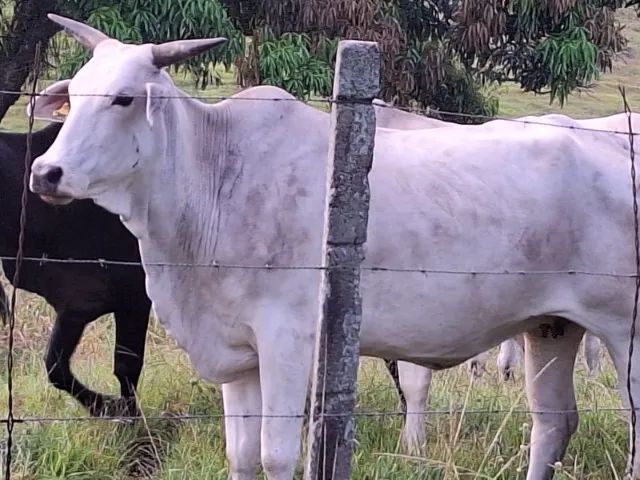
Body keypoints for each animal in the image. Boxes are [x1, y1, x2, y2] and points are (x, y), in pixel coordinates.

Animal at [0, 122, 151, 416]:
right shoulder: (76, 302)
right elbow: (55, 366)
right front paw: (105, 407)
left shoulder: (136, 293)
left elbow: (126, 365)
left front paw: (128, 414)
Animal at [28, 15, 640, 479]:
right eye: (73, 93)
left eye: (123, 98)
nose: (45, 172)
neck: (215, 176)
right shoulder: (238, 355)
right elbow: (242, 457)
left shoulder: (288, 341)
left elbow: (276, 456)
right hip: (552, 328)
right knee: (553, 423)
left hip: (624, 333)